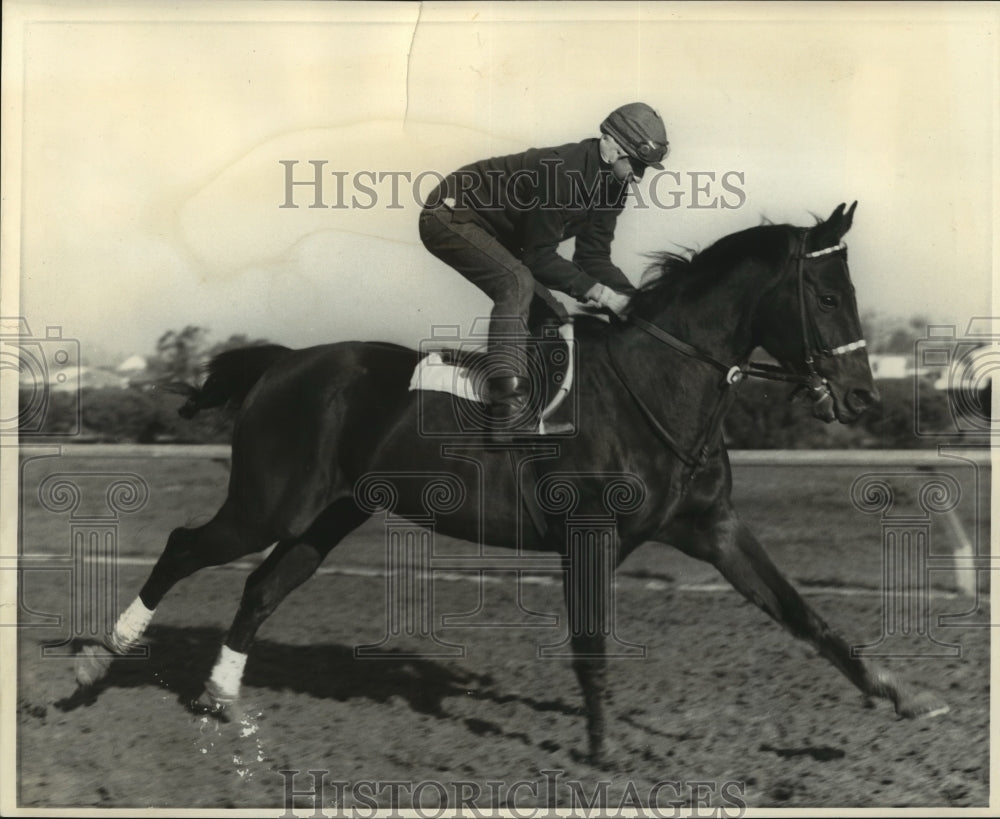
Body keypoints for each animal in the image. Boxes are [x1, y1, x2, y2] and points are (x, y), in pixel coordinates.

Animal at [75, 202, 948, 764]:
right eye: (826, 294)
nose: (863, 398)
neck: (658, 381)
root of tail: (283, 360)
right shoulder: (587, 533)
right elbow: (591, 643)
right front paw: (603, 750)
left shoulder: (713, 526)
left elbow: (803, 613)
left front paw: (900, 691)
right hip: (271, 500)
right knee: (186, 545)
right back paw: (100, 656)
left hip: (329, 514)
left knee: (263, 585)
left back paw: (222, 697)